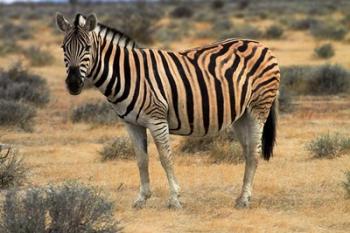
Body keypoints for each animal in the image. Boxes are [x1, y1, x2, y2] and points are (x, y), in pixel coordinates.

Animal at [56, 12, 282, 209]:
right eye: (63, 48)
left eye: (88, 47)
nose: (73, 84)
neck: (128, 74)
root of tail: (260, 44)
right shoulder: (131, 123)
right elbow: (141, 159)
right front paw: (142, 198)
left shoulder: (157, 119)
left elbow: (165, 158)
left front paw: (174, 199)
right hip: (241, 115)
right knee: (248, 150)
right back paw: (243, 196)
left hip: (258, 108)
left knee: (254, 152)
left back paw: (244, 200)